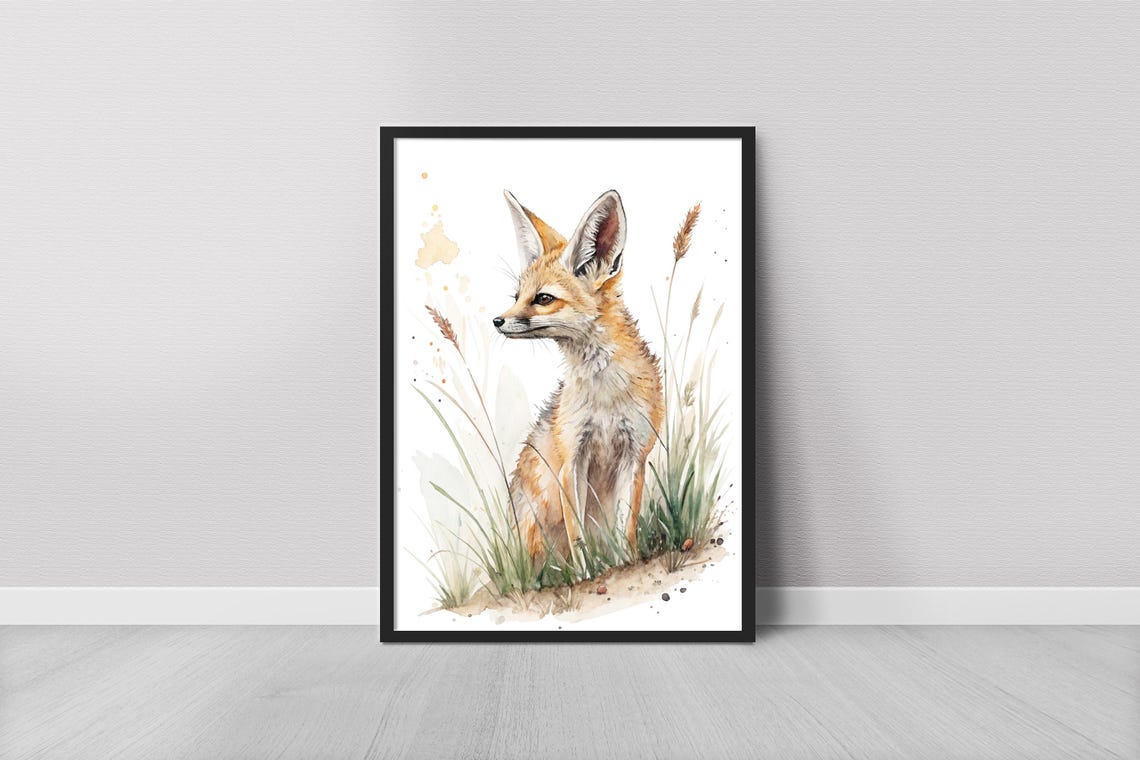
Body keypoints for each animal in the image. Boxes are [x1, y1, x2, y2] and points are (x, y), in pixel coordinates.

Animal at [494, 189, 665, 571]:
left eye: (543, 299)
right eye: (517, 297)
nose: (496, 320)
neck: (605, 395)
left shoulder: (635, 455)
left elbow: (626, 529)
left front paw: (624, 564)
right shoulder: (571, 458)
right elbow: (578, 538)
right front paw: (586, 576)